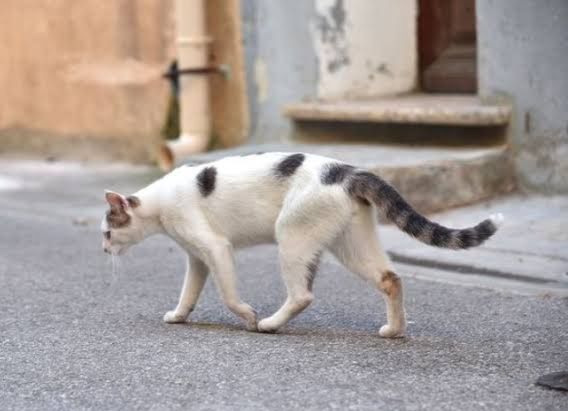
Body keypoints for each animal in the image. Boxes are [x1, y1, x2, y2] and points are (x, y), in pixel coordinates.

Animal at [101, 152, 502, 338]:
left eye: (106, 232)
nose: (103, 251)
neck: (158, 205)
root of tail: (348, 171)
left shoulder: (215, 248)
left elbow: (229, 295)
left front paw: (249, 317)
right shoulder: (197, 258)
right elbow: (188, 292)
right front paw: (179, 315)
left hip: (292, 235)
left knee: (303, 294)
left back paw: (270, 324)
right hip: (351, 244)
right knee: (391, 278)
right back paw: (395, 330)